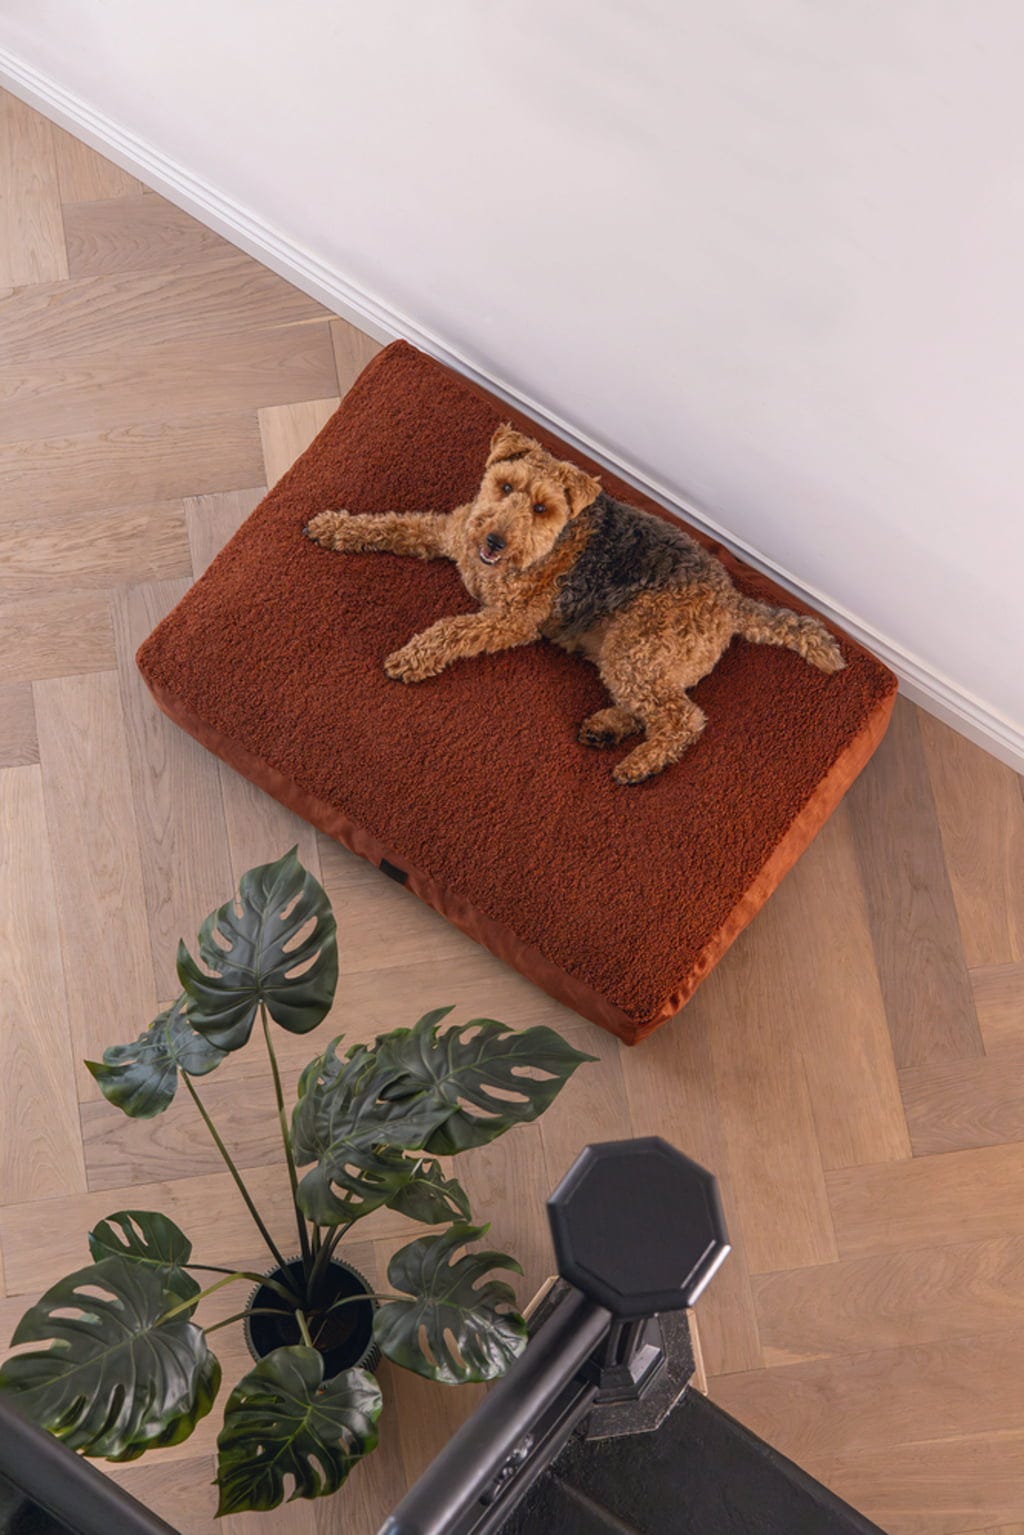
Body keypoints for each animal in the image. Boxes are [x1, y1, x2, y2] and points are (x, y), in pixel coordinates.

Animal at [304, 424, 845, 784]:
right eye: (505, 485)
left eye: (542, 508)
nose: (495, 541)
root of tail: (732, 600)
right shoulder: (448, 532)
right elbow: (391, 524)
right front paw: (333, 526)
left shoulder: (509, 622)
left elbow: (451, 629)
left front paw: (411, 659)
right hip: (633, 659)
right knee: (653, 708)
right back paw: (604, 729)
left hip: (636, 650)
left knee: (684, 719)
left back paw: (637, 765)